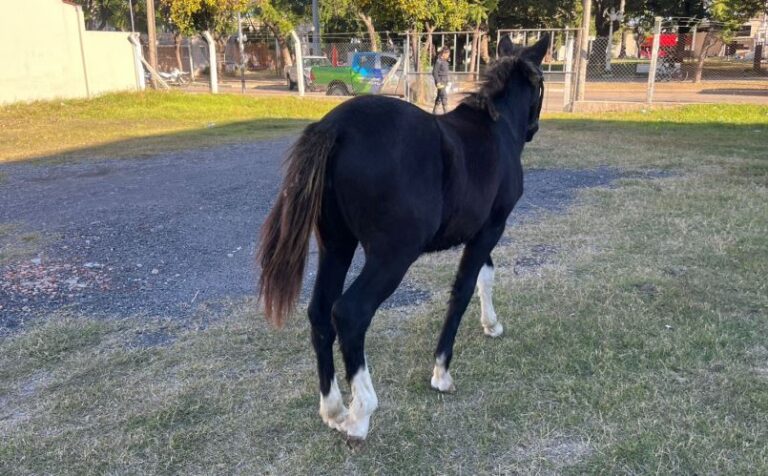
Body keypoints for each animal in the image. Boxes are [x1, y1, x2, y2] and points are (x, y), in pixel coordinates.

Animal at [257, 34, 548, 442]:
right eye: (542, 84)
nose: (533, 128)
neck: (496, 128)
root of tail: (336, 127)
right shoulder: (492, 228)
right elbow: (462, 292)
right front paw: (442, 371)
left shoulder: (480, 232)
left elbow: (484, 278)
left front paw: (491, 324)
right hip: (392, 256)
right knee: (350, 313)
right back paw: (360, 413)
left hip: (337, 245)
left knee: (319, 311)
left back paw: (333, 408)